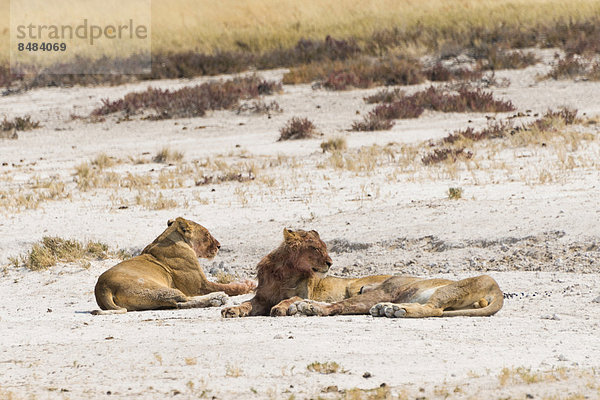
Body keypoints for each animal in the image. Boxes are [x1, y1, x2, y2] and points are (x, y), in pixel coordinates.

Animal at [92, 217, 255, 314]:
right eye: (207, 235)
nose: (219, 246)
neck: (169, 238)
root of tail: (103, 288)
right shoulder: (200, 285)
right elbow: (229, 287)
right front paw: (247, 285)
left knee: (177, 303)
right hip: (154, 288)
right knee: (183, 300)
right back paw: (218, 298)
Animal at [220, 230, 390, 318]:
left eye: (325, 248)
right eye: (315, 248)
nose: (330, 263)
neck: (285, 272)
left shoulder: (303, 294)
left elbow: (291, 298)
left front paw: (280, 307)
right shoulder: (262, 298)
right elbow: (246, 303)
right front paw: (232, 310)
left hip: (355, 287)